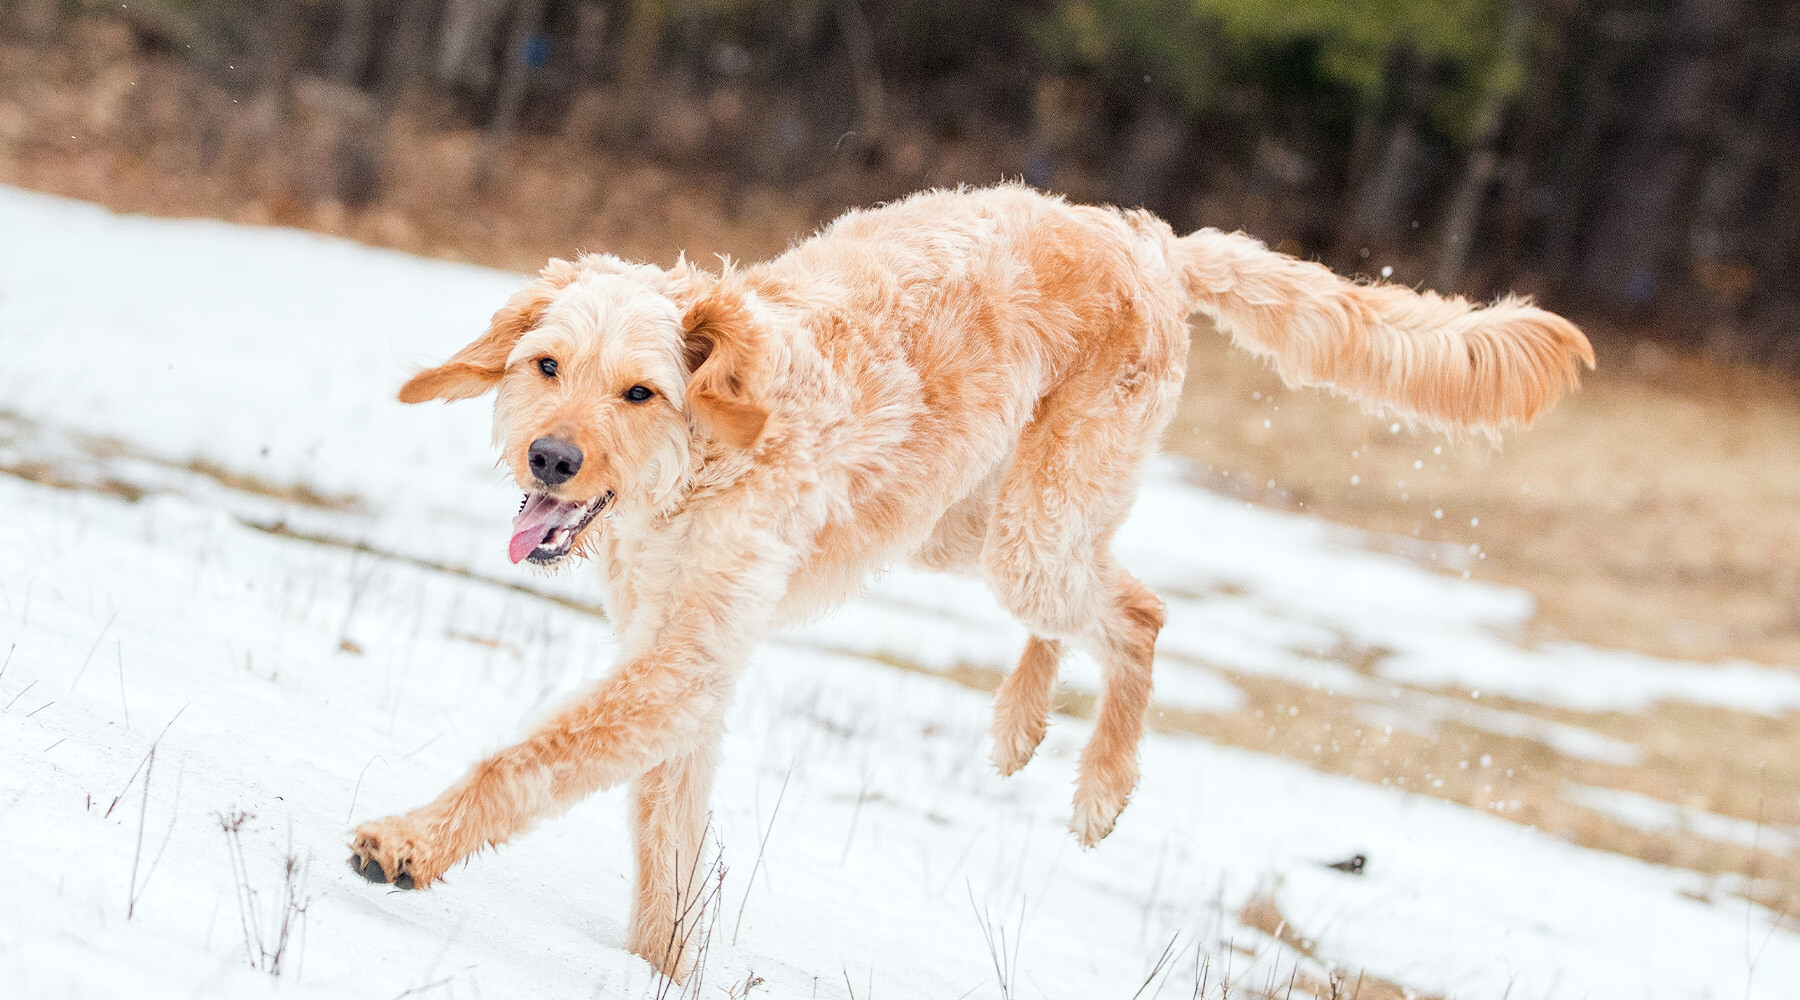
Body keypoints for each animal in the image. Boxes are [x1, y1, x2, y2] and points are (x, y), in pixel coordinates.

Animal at [347, 183, 1591, 978]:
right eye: (544, 365)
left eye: (638, 392)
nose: (548, 460)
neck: (705, 462)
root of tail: (1150, 239)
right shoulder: (682, 667)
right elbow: (667, 847)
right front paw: (658, 968)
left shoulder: (685, 662)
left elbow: (526, 760)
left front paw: (411, 843)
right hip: (969, 521)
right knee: (1100, 598)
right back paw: (1019, 725)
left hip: (1031, 529)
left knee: (1138, 611)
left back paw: (1099, 784)